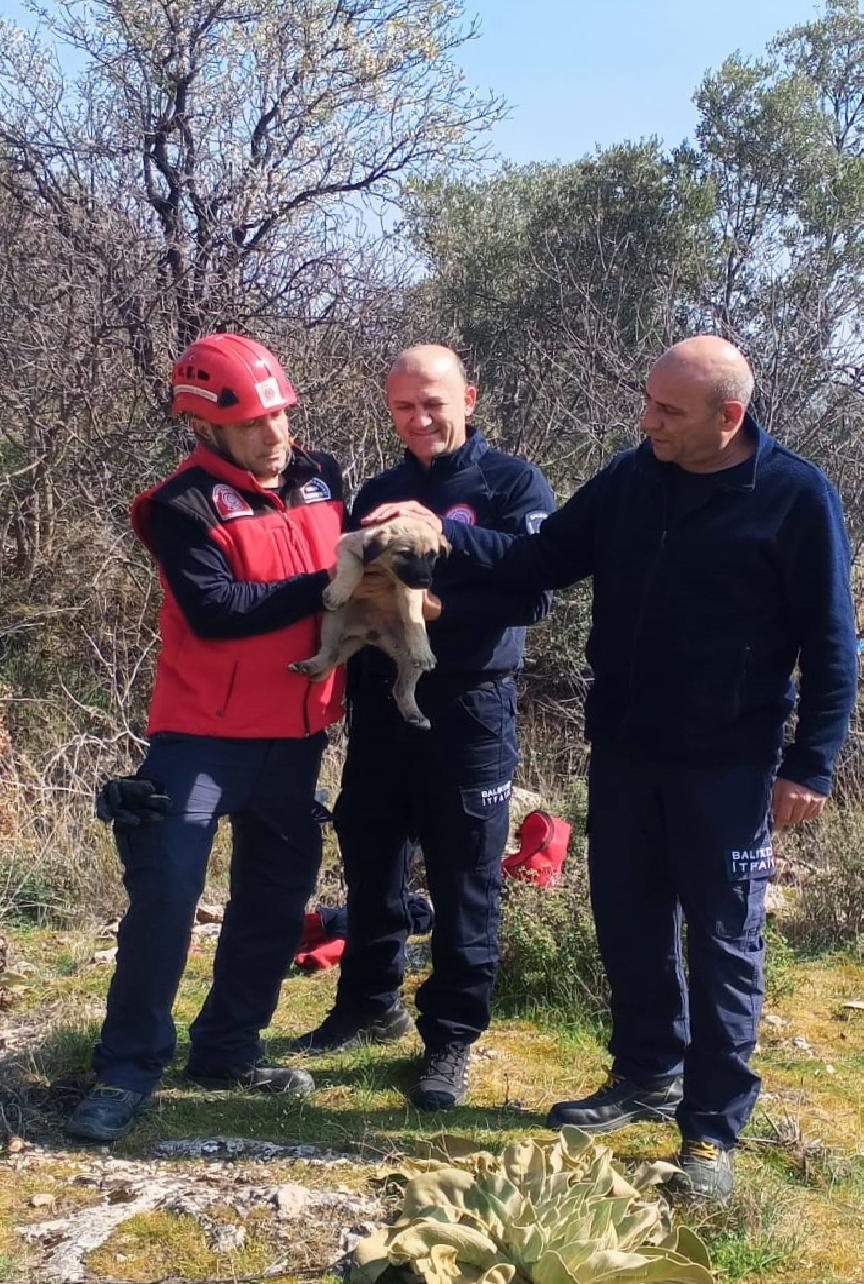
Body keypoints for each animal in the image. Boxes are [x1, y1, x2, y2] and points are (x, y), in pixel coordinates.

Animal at [291, 516, 449, 729]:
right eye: (405, 554)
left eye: (432, 555)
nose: (425, 582)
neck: (386, 568)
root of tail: (371, 634)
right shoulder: (348, 545)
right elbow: (355, 568)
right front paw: (339, 592)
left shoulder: (409, 587)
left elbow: (413, 614)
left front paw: (422, 650)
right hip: (333, 622)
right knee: (330, 654)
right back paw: (309, 666)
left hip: (406, 657)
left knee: (401, 688)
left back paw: (415, 714)